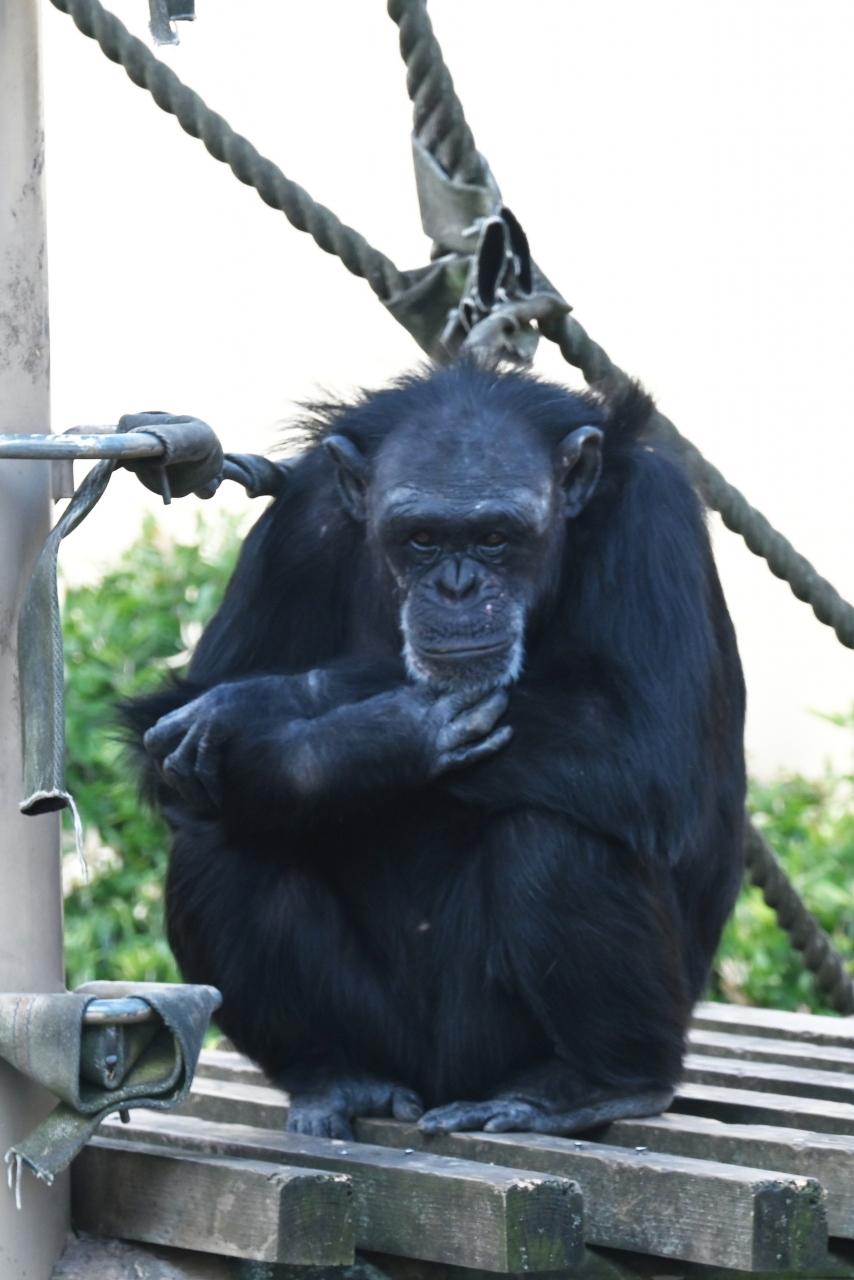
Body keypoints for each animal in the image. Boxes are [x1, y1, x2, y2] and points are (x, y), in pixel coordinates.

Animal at [123, 363, 742, 1141]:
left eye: (495, 537)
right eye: (420, 538)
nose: (457, 586)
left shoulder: (654, 521)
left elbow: (646, 745)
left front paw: (268, 704)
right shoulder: (295, 526)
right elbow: (167, 738)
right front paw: (362, 741)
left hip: (492, 1043)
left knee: (554, 837)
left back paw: (599, 1084)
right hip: (390, 1040)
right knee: (218, 839)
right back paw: (335, 1076)